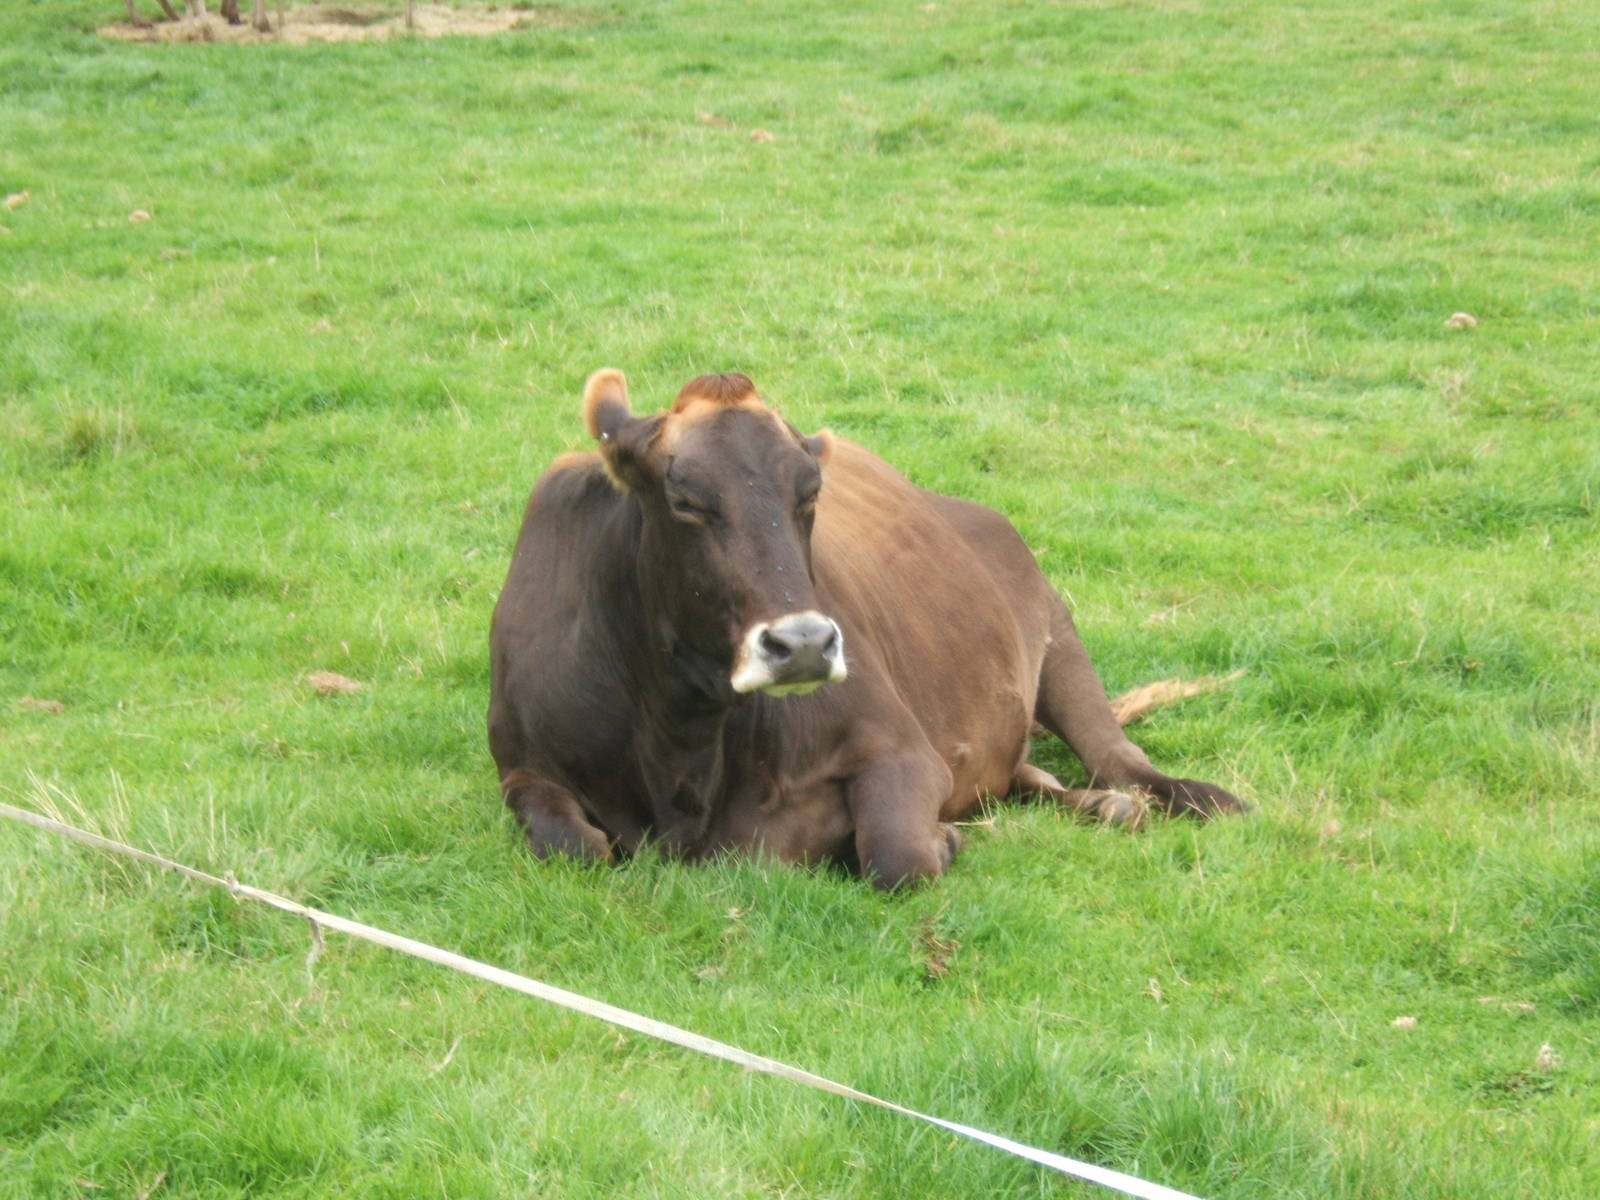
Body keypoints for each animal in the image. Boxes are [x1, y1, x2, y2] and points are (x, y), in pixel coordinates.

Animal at [488, 370, 1243, 889]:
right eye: (686, 501)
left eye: (810, 492)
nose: (803, 645)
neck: (681, 740)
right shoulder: (521, 764)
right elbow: (575, 846)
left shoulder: (902, 749)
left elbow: (898, 855)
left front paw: (943, 840)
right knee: (1029, 777)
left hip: (1056, 631)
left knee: (1117, 756)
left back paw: (1190, 799)